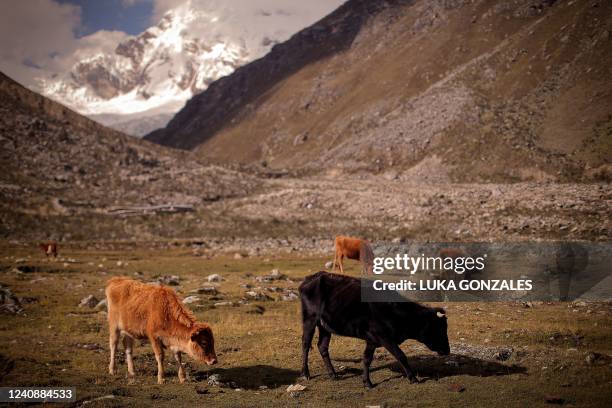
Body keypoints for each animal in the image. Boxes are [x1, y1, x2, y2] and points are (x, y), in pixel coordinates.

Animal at [300, 272, 450, 388]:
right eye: (439, 328)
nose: (447, 350)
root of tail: (312, 277)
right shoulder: (383, 337)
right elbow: (401, 355)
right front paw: (413, 378)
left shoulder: (372, 340)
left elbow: (367, 359)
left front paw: (367, 382)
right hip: (310, 319)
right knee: (306, 344)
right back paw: (305, 374)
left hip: (325, 326)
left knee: (322, 346)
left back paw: (333, 374)